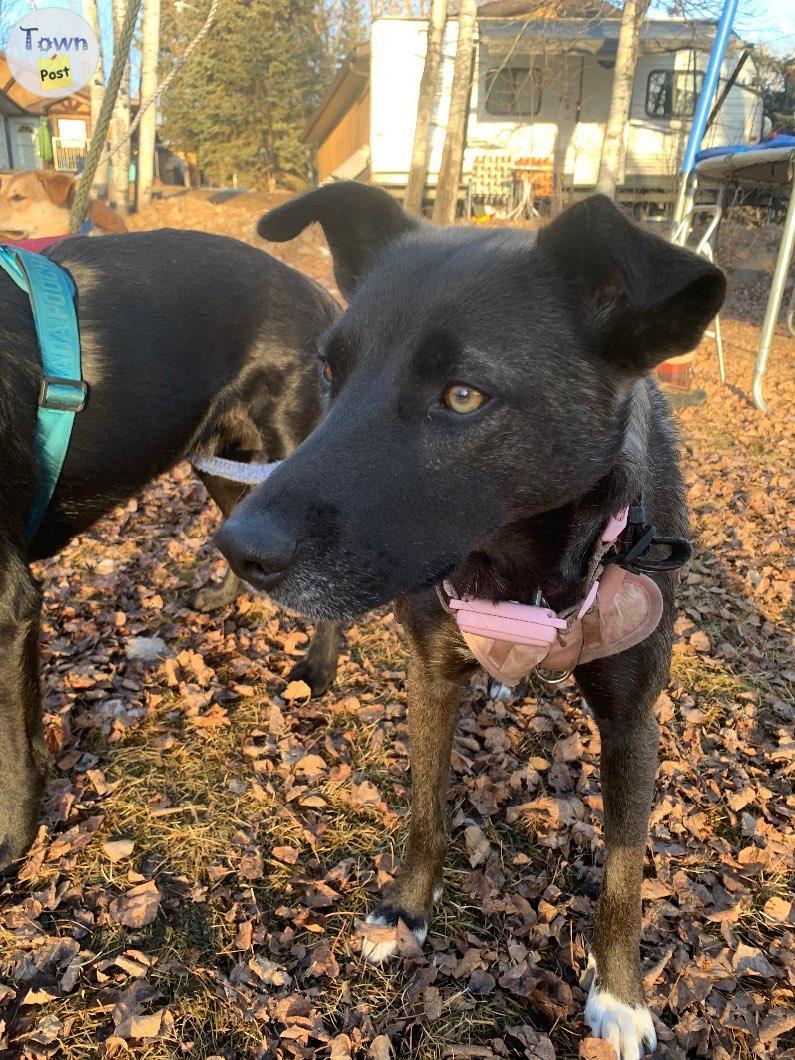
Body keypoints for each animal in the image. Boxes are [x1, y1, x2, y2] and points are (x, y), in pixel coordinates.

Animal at [218, 186, 729, 1060]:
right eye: (331, 371)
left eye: (463, 395)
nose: (237, 546)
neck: (523, 568)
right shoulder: (431, 671)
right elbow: (426, 811)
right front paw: (404, 912)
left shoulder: (633, 720)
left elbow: (624, 874)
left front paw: (620, 995)